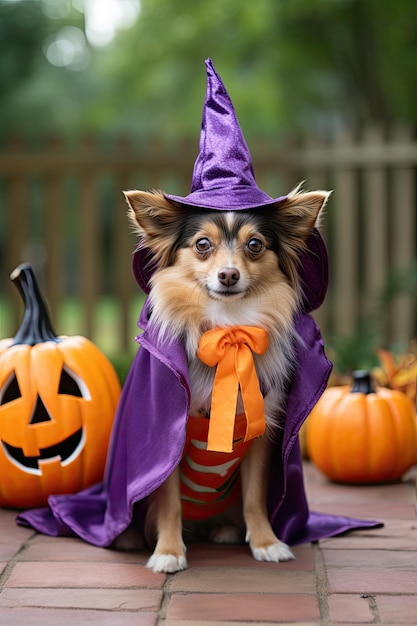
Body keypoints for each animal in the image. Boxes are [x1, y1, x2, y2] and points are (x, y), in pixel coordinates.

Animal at [114, 182, 328, 572]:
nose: (228, 275)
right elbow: (168, 501)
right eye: (202, 244)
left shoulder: (261, 433)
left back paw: (224, 529)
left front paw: (266, 542)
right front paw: (169, 552)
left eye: (255, 244)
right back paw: (129, 537)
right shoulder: (171, 438)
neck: (229, 327)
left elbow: (255, 497)